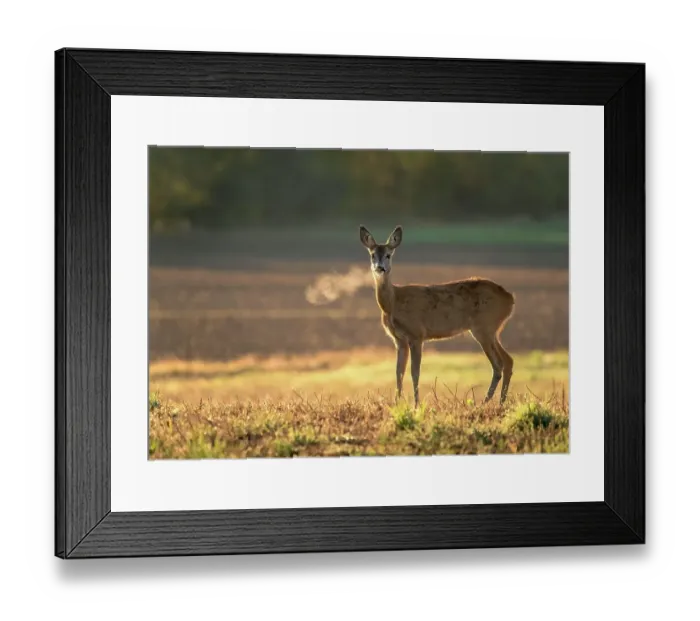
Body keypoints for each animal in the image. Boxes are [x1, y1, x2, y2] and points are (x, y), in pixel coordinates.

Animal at [359, 225, 515, 407]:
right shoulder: (399, 340)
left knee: (498, 364)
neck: (393, 302)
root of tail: (510, 299)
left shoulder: (416, 334)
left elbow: (415, 372)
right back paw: (500, 403)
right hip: (491, 330)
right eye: (372, 255)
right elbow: (399, 372)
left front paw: (416, 406)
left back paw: (485, 402)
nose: (380, 267)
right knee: (508, 360)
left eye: (388, 255)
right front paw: (396, 404)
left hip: (484, 327)